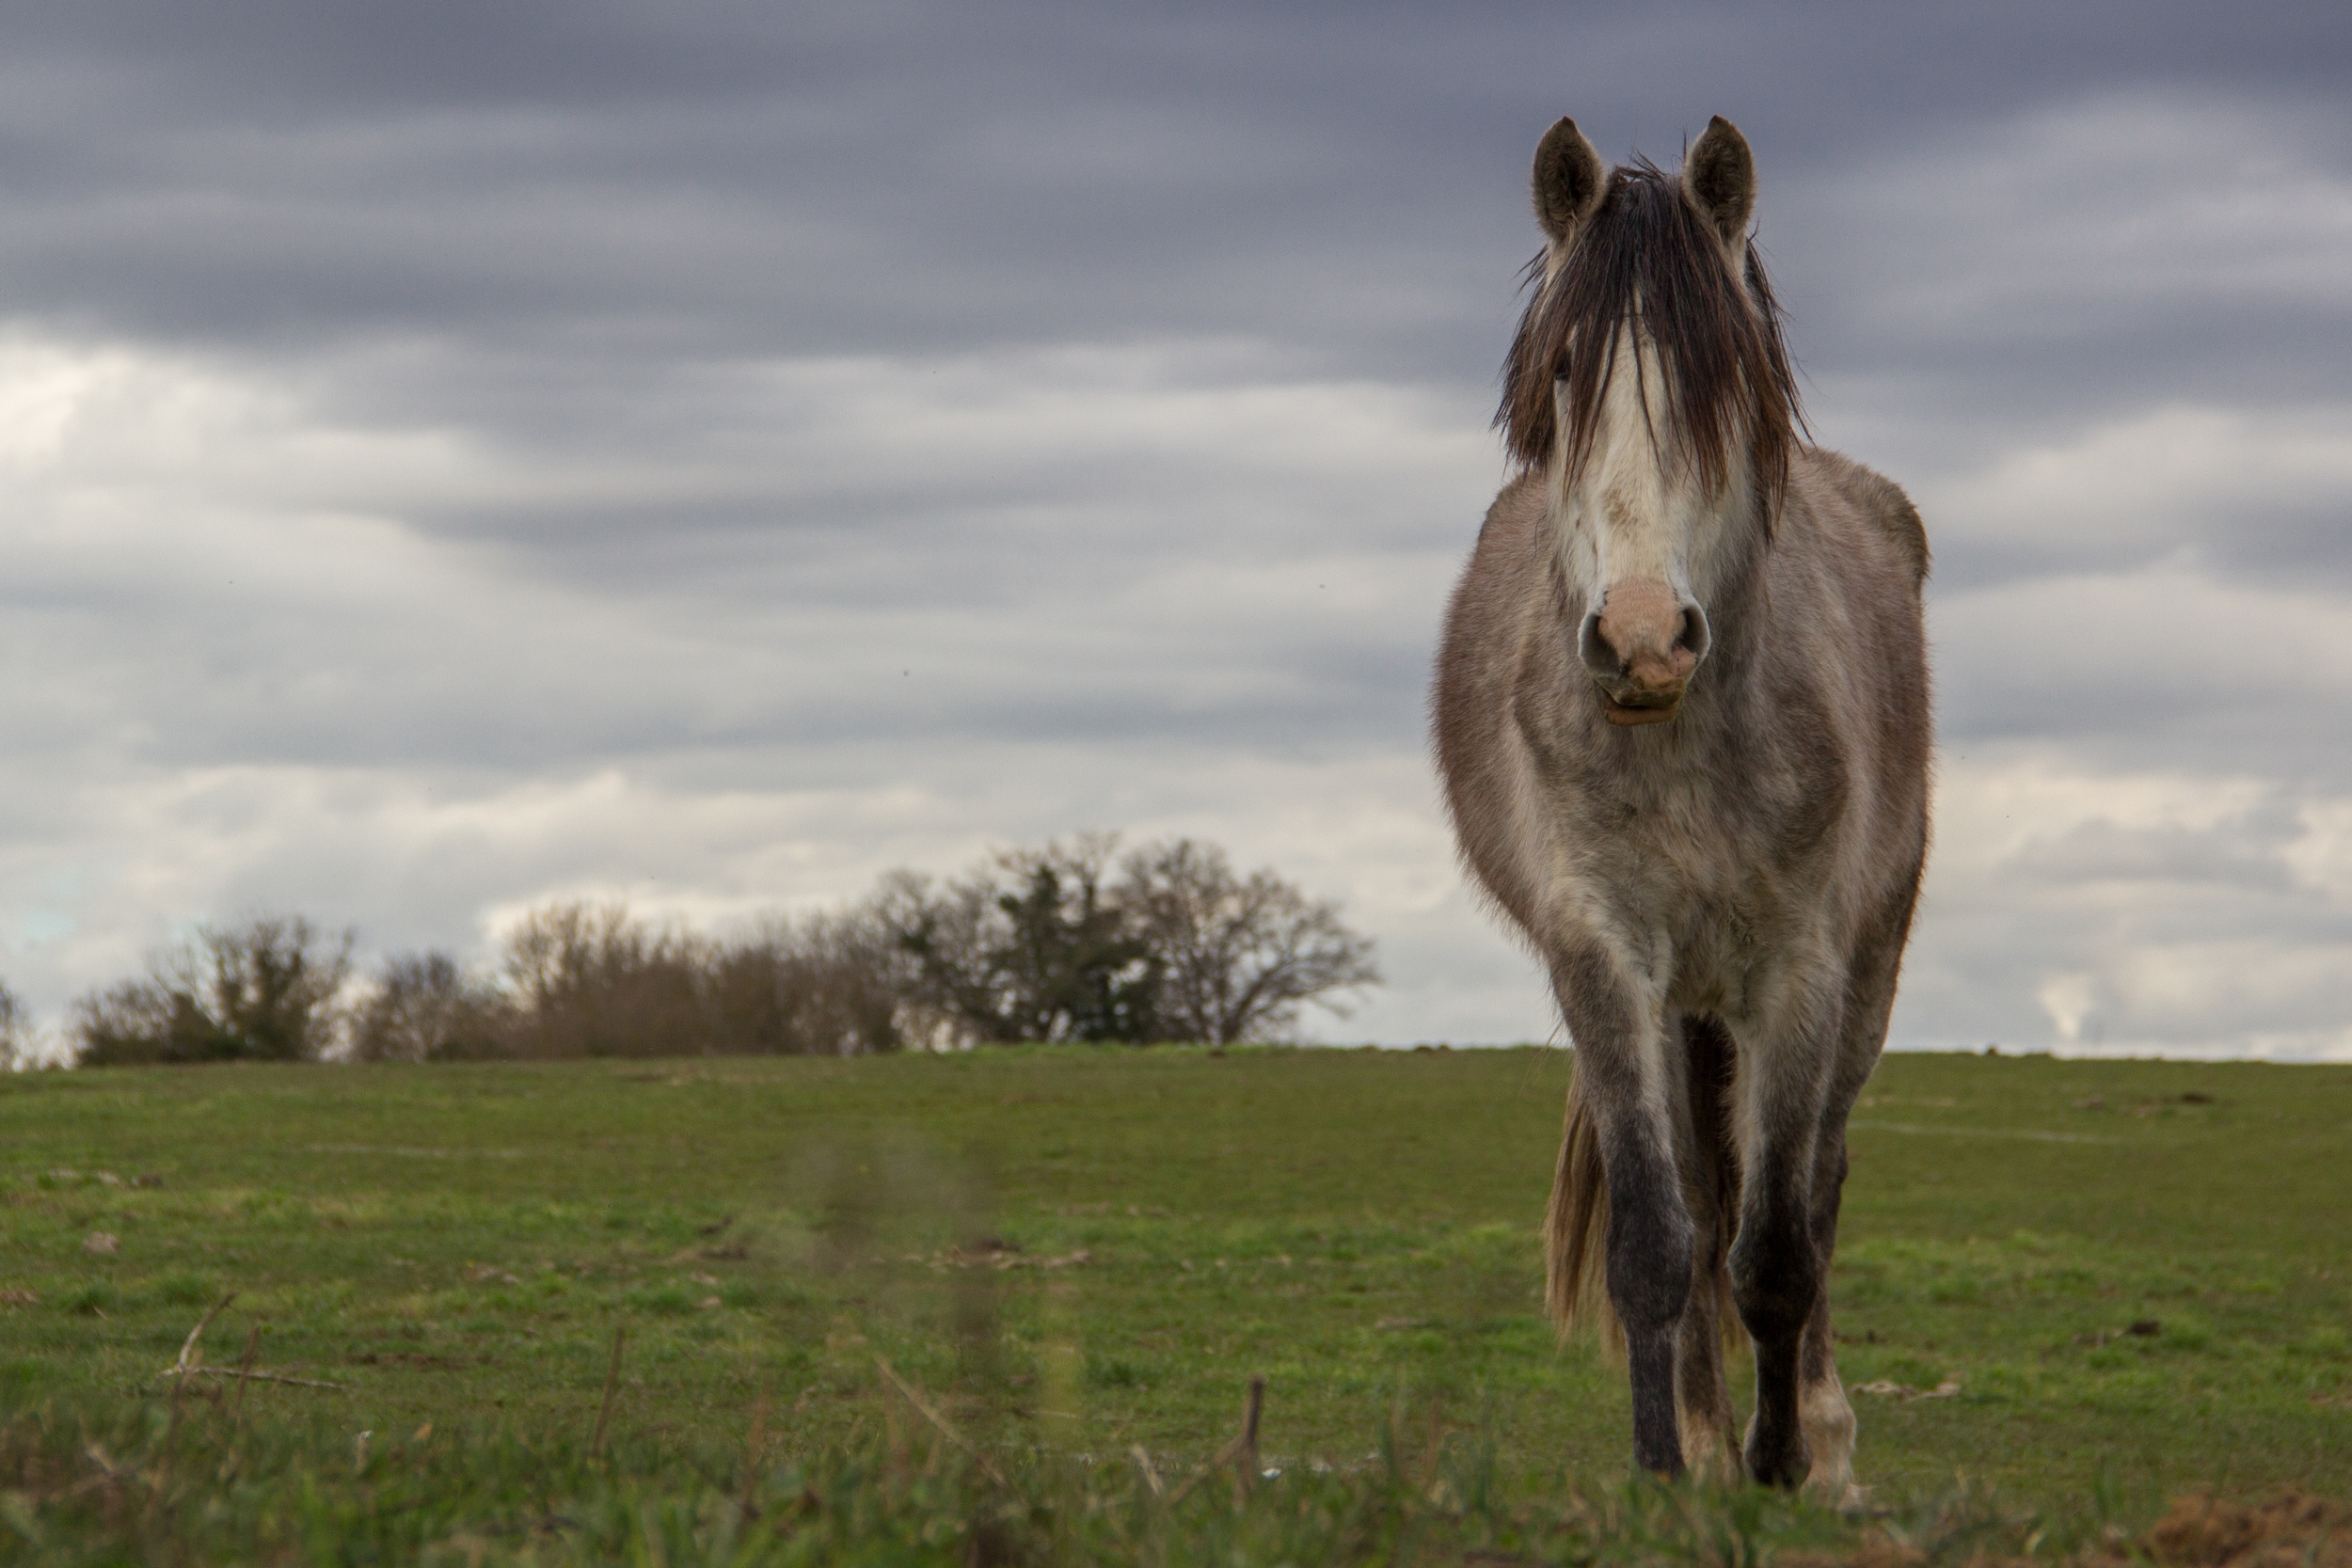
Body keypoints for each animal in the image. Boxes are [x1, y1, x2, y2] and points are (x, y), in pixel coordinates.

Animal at [1430, 113, 1929, 1495]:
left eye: (1724, 383)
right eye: (1562, 379)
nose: (1643, 640)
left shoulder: (1801, 966)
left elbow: (1780, 1244)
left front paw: (1783, 1466)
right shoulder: (1604, 955)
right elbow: (1661, 1239)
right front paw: (1668, 1473)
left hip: (1863, 966)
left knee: (1813, 1182)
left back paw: (1822, 1435)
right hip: (1679, 1005)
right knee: (1709, 1199)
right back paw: (1709, 1431)